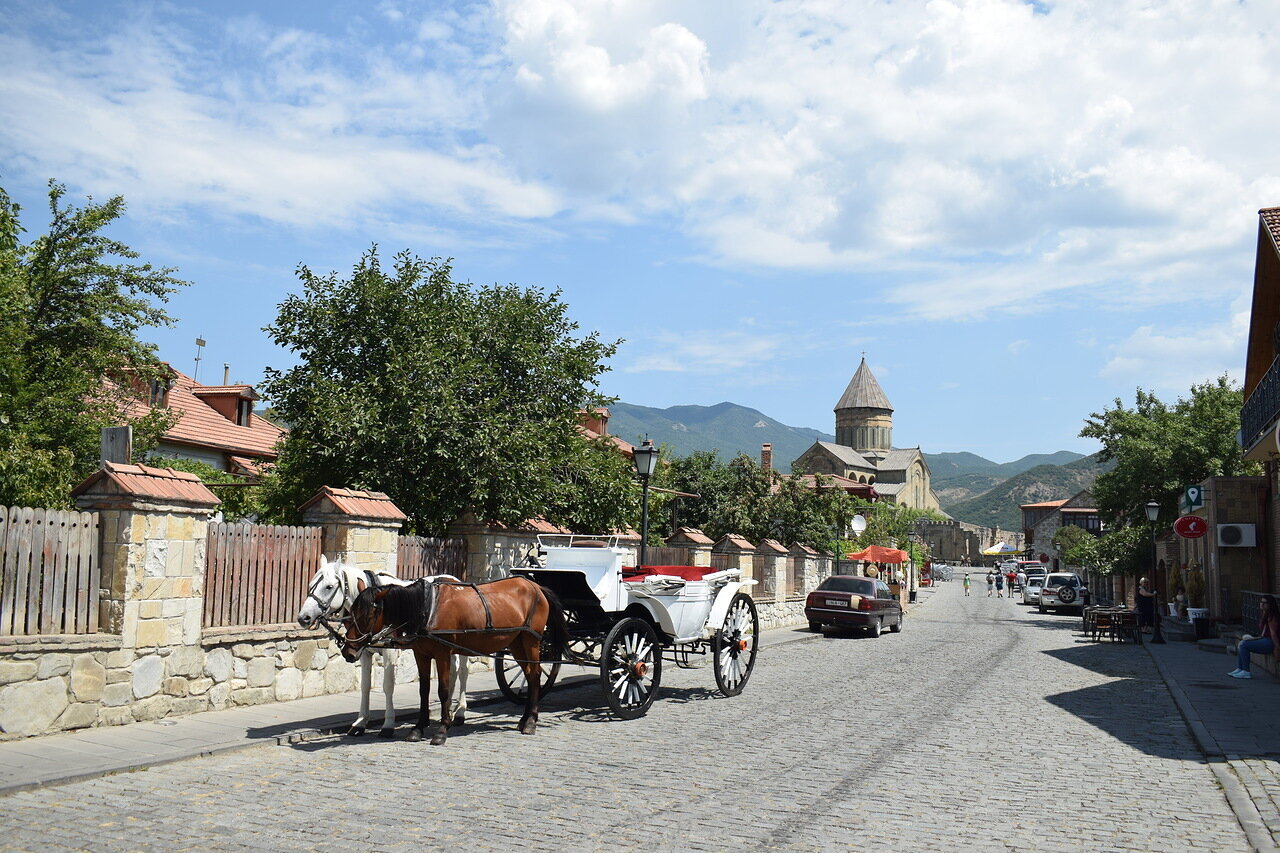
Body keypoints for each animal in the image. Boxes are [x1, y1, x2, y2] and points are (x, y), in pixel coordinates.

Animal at [295, 555, 471, 732]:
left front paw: (388, 724)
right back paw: (448, 708)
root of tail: (454, 579)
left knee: (463, 671)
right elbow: (365, 685)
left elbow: (388, 685)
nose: (303, 617)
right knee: (452, 670)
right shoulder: (364, 652)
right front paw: (361, 722)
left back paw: (460, 711)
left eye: (329, 587)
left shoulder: (389, 652)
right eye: (311, 585)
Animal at [345, 573, 565, 742]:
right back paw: (524, 719)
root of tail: (536, 586)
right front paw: (418, 727)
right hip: (516, 642)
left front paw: (442, 729)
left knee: (535, 675)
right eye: (351, 612)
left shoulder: (442, 654)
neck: (428, 607)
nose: (348, 651)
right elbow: (424, 690)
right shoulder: (421, 654)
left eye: (367, 615)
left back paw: (530, 721)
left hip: (531, 640)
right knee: (529, 675)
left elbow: (443, 690)